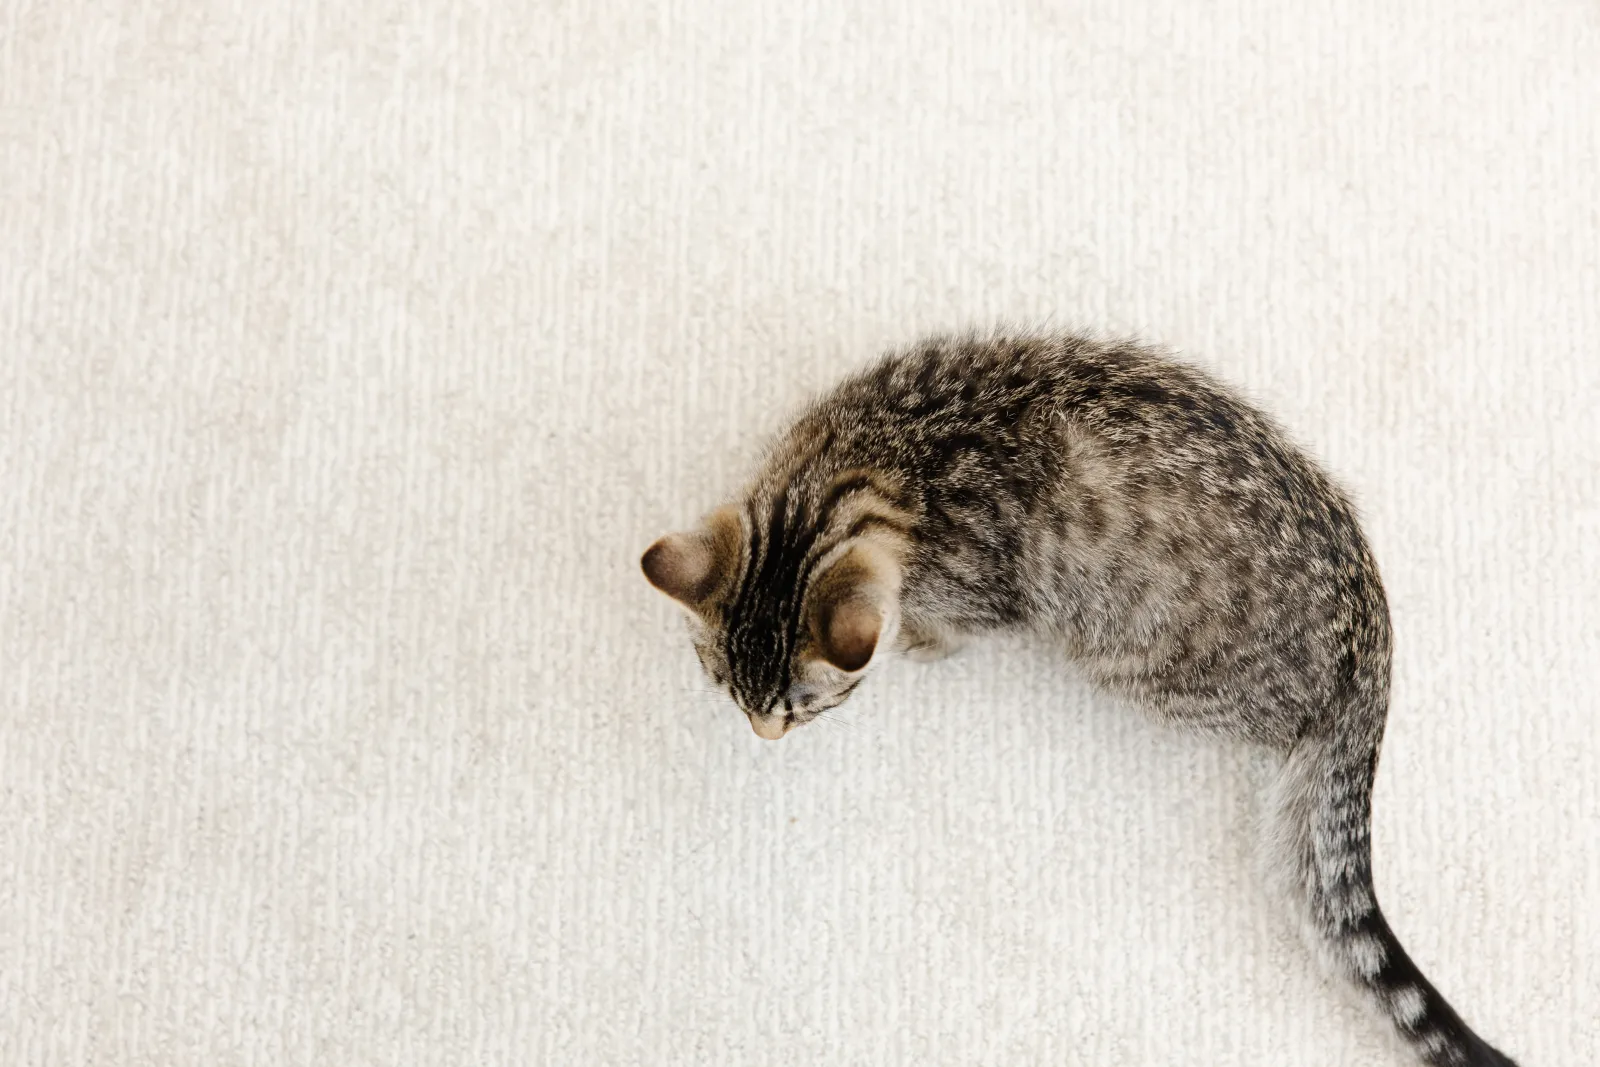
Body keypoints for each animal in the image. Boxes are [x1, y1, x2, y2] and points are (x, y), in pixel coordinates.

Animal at [643, 334, 1516, 1067]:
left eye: (804, 708)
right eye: (726, 690)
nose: (764, 735)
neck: (872, 465)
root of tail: (1371, 642)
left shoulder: (974, 596)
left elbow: (944, 629)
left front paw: (921, 642)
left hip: (1147, 667)